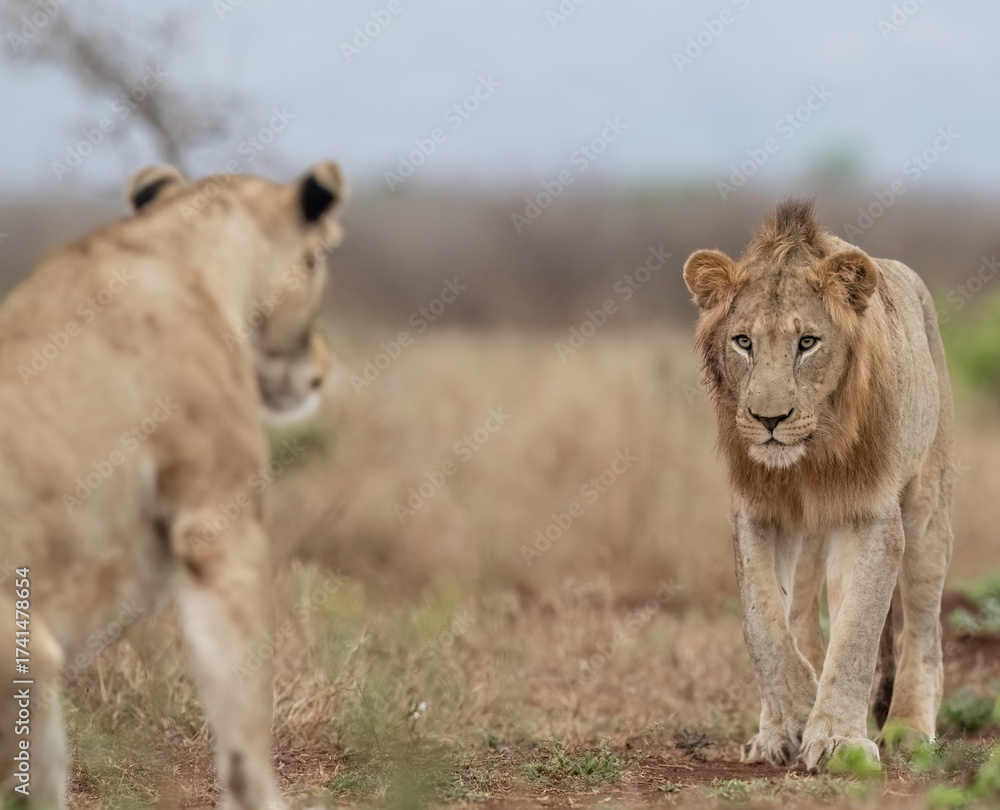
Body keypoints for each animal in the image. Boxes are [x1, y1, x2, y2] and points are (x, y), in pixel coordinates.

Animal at [683, 199, 954, 771]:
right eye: (743, 342)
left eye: (807, 343)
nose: (768, 419)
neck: (806, 462)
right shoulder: (757, 511)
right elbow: (763, 623)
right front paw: (796, 715)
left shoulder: (872, 515)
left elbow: (855, 635)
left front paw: (836, 739)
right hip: (812, 541)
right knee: (802, 611)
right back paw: (771, 733)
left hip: (927, 506)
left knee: (922, 623)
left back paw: (909, 727)